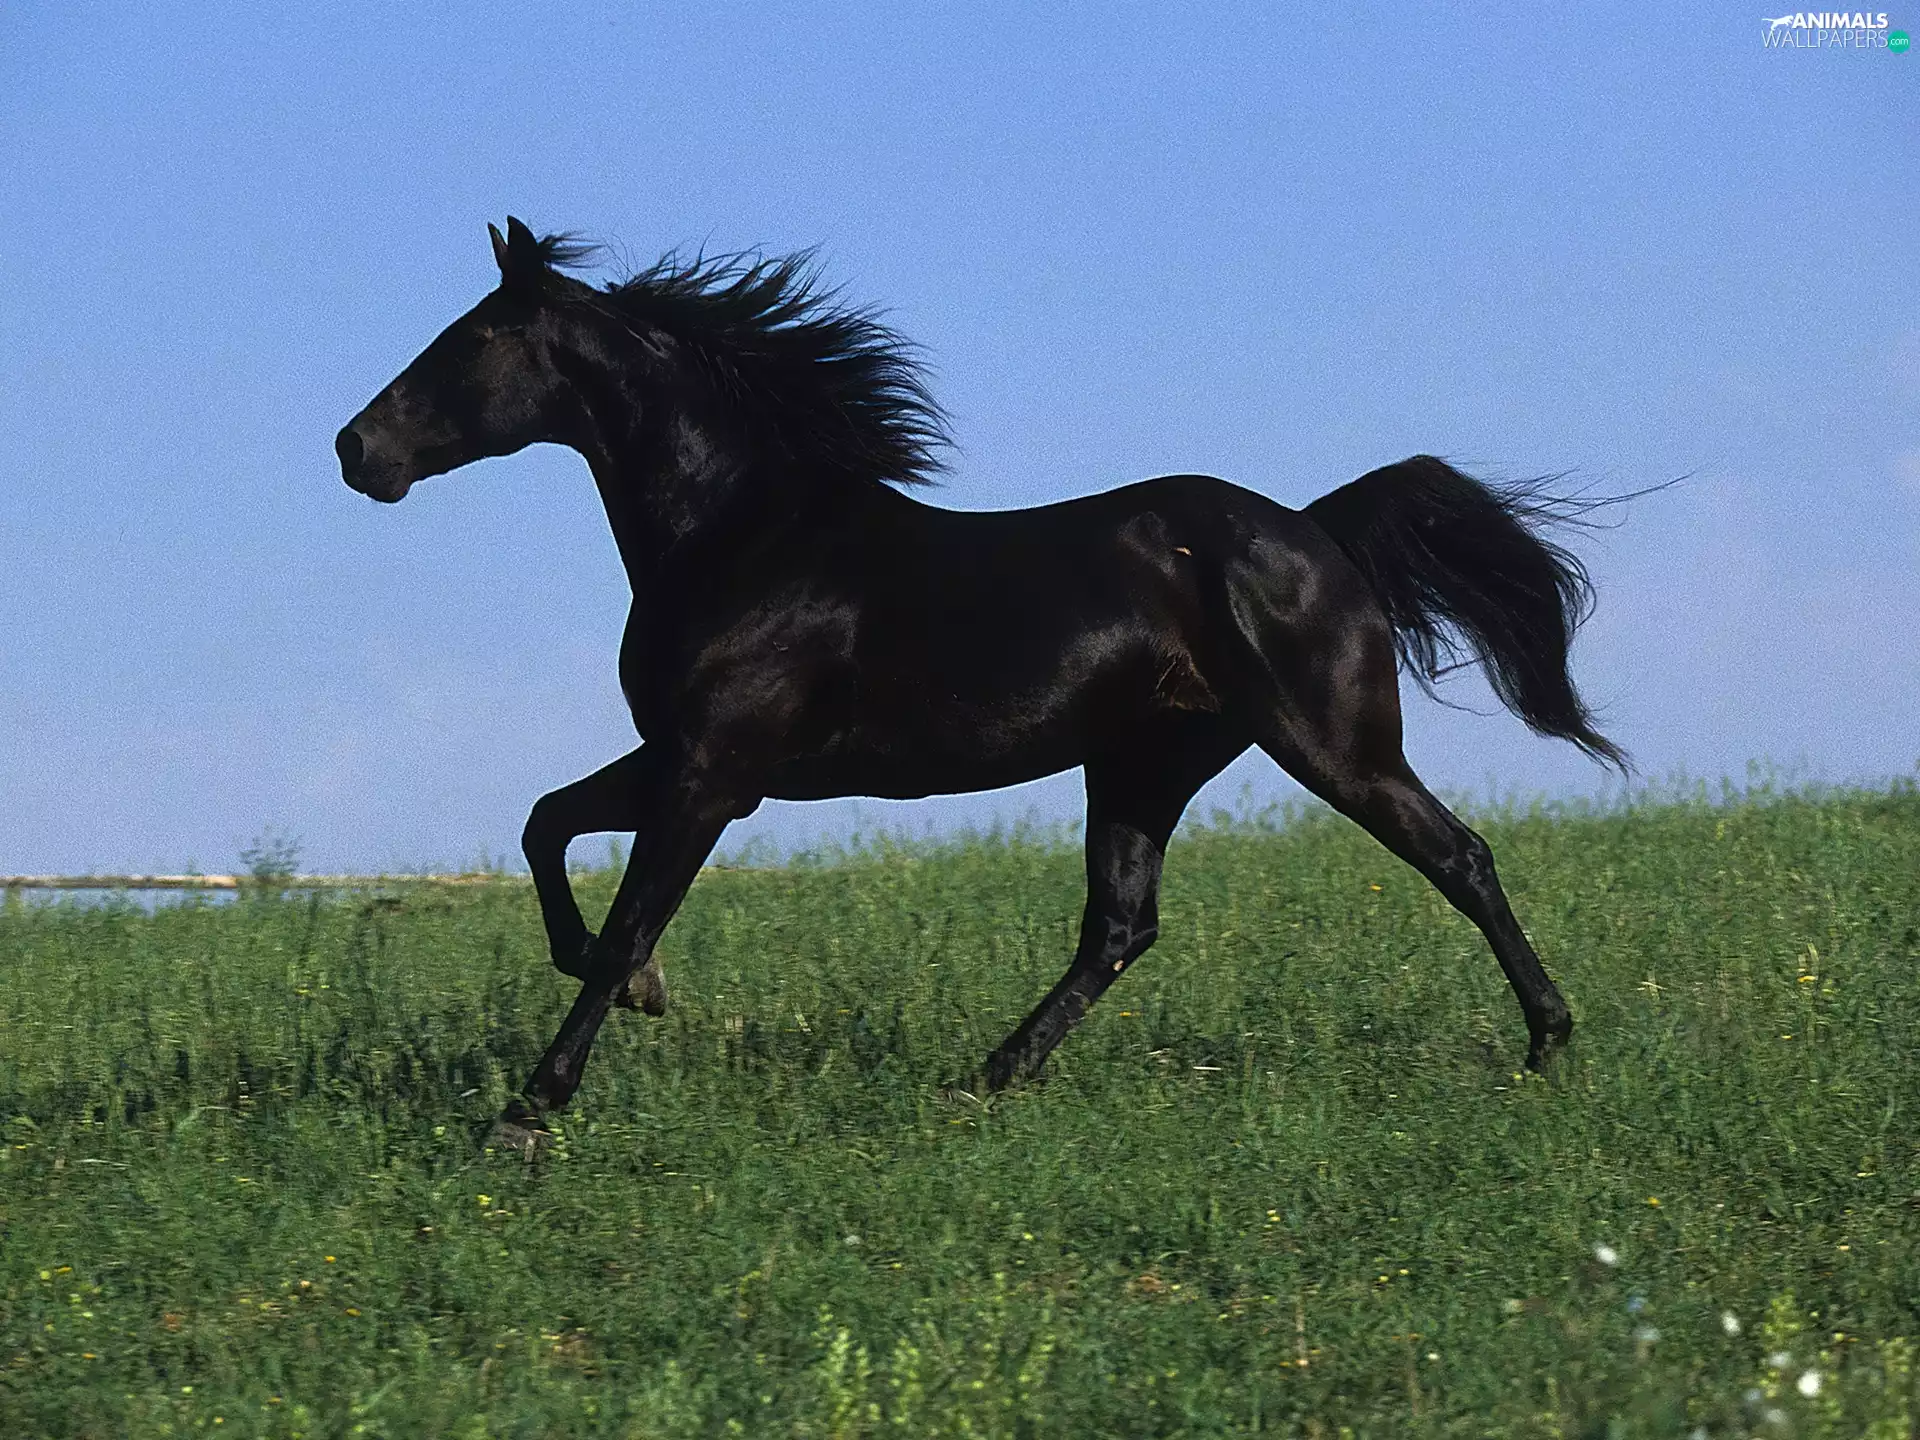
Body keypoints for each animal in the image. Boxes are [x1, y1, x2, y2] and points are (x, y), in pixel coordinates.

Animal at [336, 217, 1626, 1147]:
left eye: (471, 342)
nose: (357, 450)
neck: (742, 537)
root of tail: (1319, 532)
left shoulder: (712, 773)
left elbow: (620, 920)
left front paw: (531, 1109)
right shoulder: (692, 762)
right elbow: (546, 824)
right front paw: (645, 996)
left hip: (1332, 746)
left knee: (1458, 858)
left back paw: (1550, 1042)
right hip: (1144, 765)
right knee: (1119, 928)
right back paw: (989, 1079)